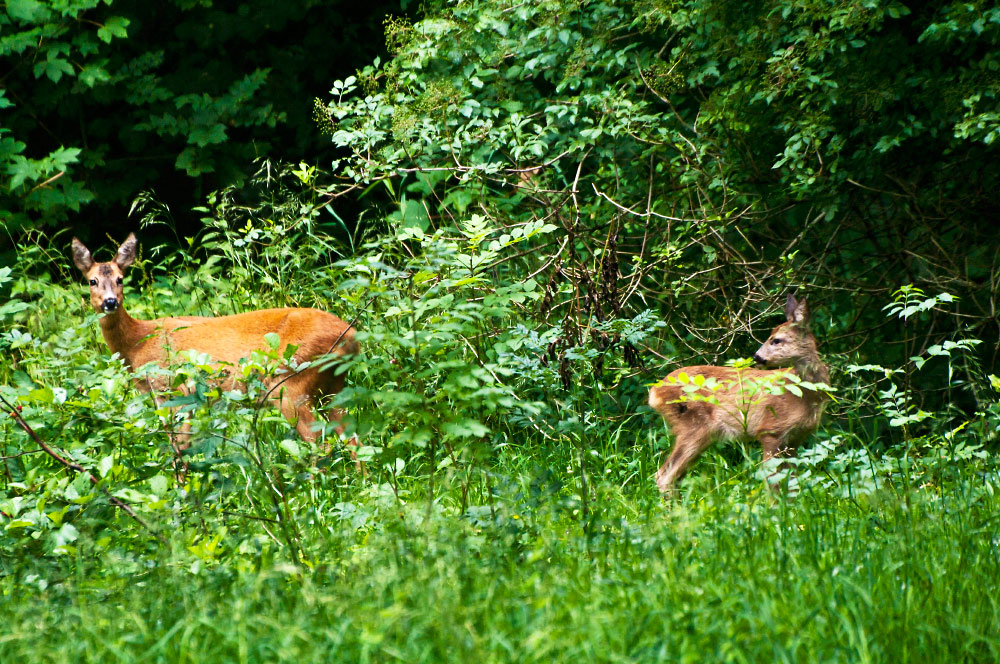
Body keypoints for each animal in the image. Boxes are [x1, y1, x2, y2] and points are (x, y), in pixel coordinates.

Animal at [71, 232, 360, 446]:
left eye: (121, 279)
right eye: (92, 281)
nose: (110, 302)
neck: (137, 342)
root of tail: (351, 335)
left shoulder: (173, 389)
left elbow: (180, 448)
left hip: (292, 382)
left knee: (319, 444)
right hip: (333, 385)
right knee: (354, 437)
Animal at [648, 294, 828, 492]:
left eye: (776, 340)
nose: (757, 357)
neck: (805, 395)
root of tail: (654, 391)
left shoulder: (795, 440)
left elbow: (793, 484)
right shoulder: (770, 430)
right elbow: (772, 481)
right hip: (694, 425)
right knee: (664, 476)